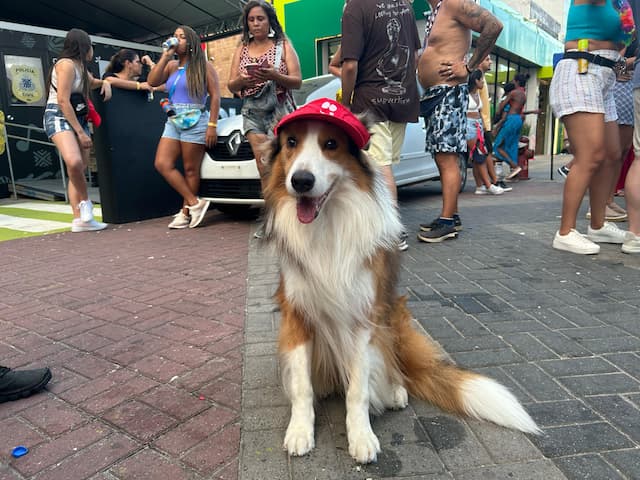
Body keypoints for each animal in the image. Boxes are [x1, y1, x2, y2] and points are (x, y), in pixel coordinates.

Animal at [262, 98, 540, 464]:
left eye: (331, 144)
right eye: (291, 142)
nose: (301, 181)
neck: (328, 224)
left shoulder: (365, 318)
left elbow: (358, 389)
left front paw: (361, 435)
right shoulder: (296, 315)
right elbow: (302, 386)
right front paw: (299, 430)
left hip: (392, 320)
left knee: (394, 366)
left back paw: (394, 390)